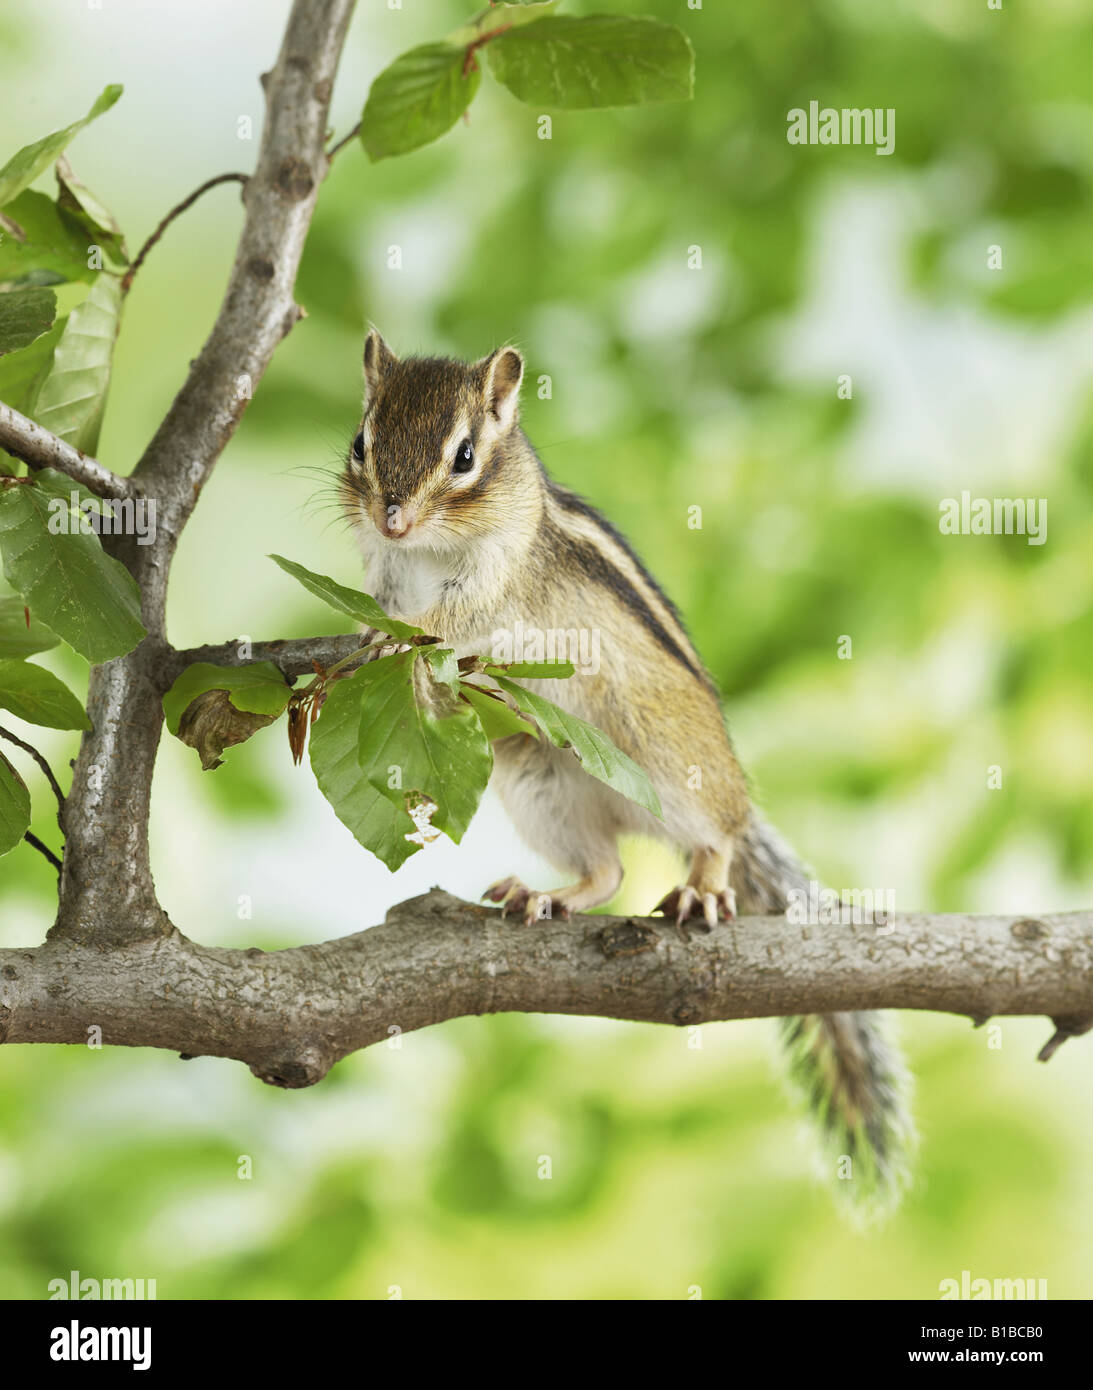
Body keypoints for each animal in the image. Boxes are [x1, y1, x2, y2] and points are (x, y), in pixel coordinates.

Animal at [340, 330, 913, 1201]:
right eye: (361, 443)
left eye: (464, 456)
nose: (393, 518)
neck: (428, 552)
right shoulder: (384, 572)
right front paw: (361, 642)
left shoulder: (496, 580)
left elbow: (451, 619)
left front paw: (394, 640)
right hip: (537, 778)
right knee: (606, 870)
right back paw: (547, 896)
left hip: (672, 760)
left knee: (715, 835)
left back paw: (703, 885)